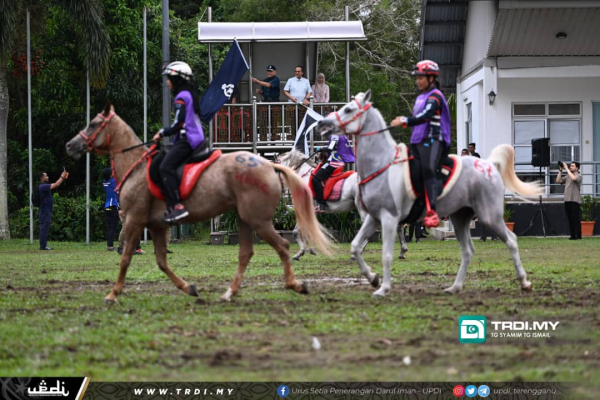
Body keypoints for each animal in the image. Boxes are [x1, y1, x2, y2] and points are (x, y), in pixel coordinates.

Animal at [67, 103, 330, 304]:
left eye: (93, 123)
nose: (70, 145)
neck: (136, 166)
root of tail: (267, 166)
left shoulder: (134, 220)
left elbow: (126, 259)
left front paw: (113, 294)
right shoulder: (156, 226)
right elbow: (161, 262)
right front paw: (189, 288)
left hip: (258, 220)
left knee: (282, 246)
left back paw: (295, 284)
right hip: (245, 219)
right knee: (246, 253)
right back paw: (230, 293)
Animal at [278, 149, 410, 260]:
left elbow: (296, 232)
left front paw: (301, 253)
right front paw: (308, 251)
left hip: (363, 209)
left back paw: (357, 253)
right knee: (397, 226)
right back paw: (402, 252)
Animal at [316, 90, 540, 296]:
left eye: (348, 109)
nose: (322, 124)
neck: (382, 163)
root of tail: (489, 165)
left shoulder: (389, 218)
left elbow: (386, 254)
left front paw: (384, 288)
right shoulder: (374, 217)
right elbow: (355, 245)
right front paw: (373, 278)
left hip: (489, 215)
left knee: (511, 240)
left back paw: (524, 282)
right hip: (460, 217)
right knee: (468, 251)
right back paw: (455, 287)